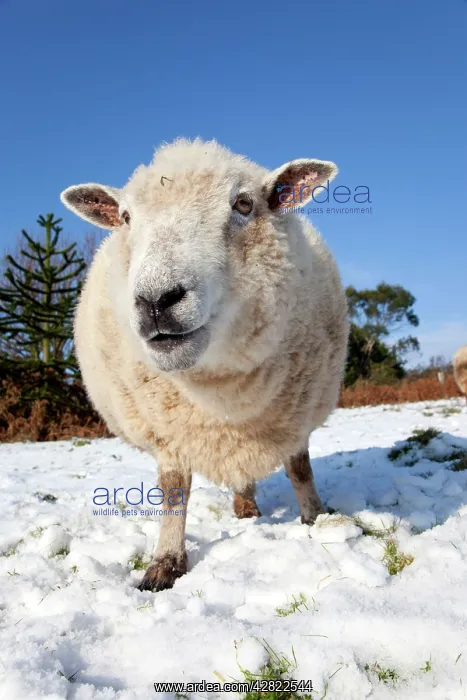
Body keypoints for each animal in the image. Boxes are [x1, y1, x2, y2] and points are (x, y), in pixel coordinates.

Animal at [60, 138, 349, 592]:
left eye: (244, 203)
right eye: (125, 217)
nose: (156, 301)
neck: (222, 392)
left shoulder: (297, 415)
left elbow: (300, 469)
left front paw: (316, 519)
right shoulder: (168, 433)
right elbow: (174, 491)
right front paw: (165, 563)